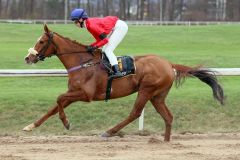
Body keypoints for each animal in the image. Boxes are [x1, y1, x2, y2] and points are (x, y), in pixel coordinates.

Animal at [23, 24, 224, 141]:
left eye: (42, 41)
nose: (28, 58)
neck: (82, 62)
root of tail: (168, 63)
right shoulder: (74, 93)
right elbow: (54, 107)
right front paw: (30, 126)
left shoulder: (86, 95)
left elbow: (58, 99)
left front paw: (66, 123)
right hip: (157, 95)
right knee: (168, 116)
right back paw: (166, 141)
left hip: (146, 90)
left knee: (135, 113)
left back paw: (109, 131)